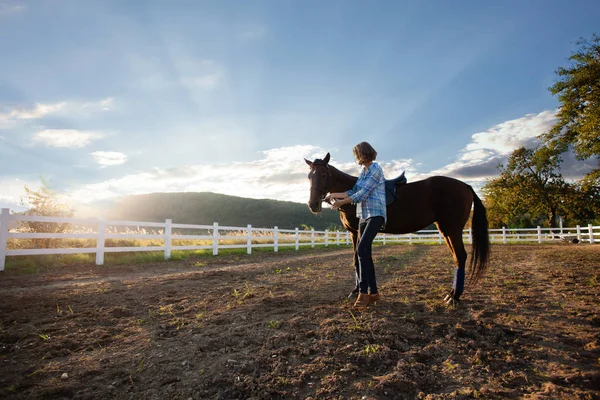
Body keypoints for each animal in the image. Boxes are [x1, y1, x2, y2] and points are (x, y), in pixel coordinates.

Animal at [302, 153, 490, 304]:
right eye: (309, 176)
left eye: (324, 174)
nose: (313, 205)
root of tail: (465, 186)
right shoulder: (355, 232)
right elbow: (357, 260)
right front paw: (357, 290)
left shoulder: (359, 231)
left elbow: (360, 259)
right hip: (446, 230)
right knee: (457, 257)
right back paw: (451, 294)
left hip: (453, 229)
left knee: (461, 256)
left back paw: (454, 296)